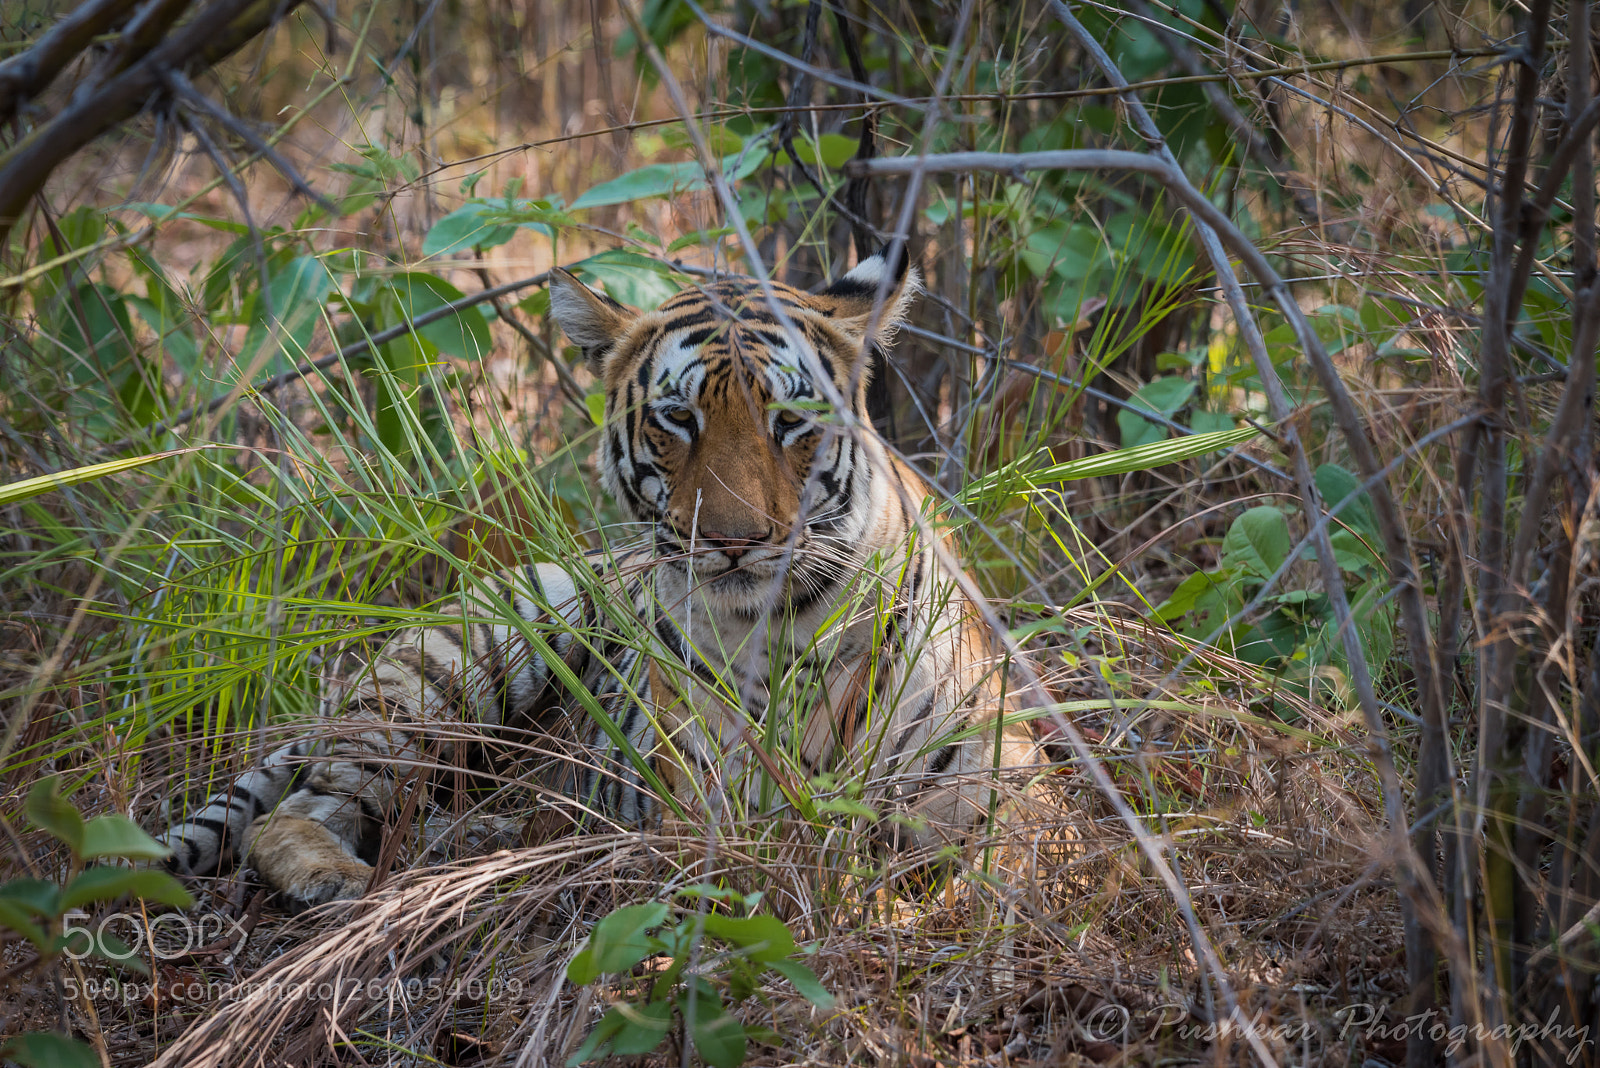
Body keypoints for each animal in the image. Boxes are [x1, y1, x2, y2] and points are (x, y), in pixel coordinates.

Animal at [158, 249, 1046, 911]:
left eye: (790, 421)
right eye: (678, 418)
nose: (731, 541)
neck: (787, 625)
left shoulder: (1002, 763)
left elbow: (1016, 844)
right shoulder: (707, 796)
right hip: (463, 661)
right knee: (302, 810)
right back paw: (342, 879)